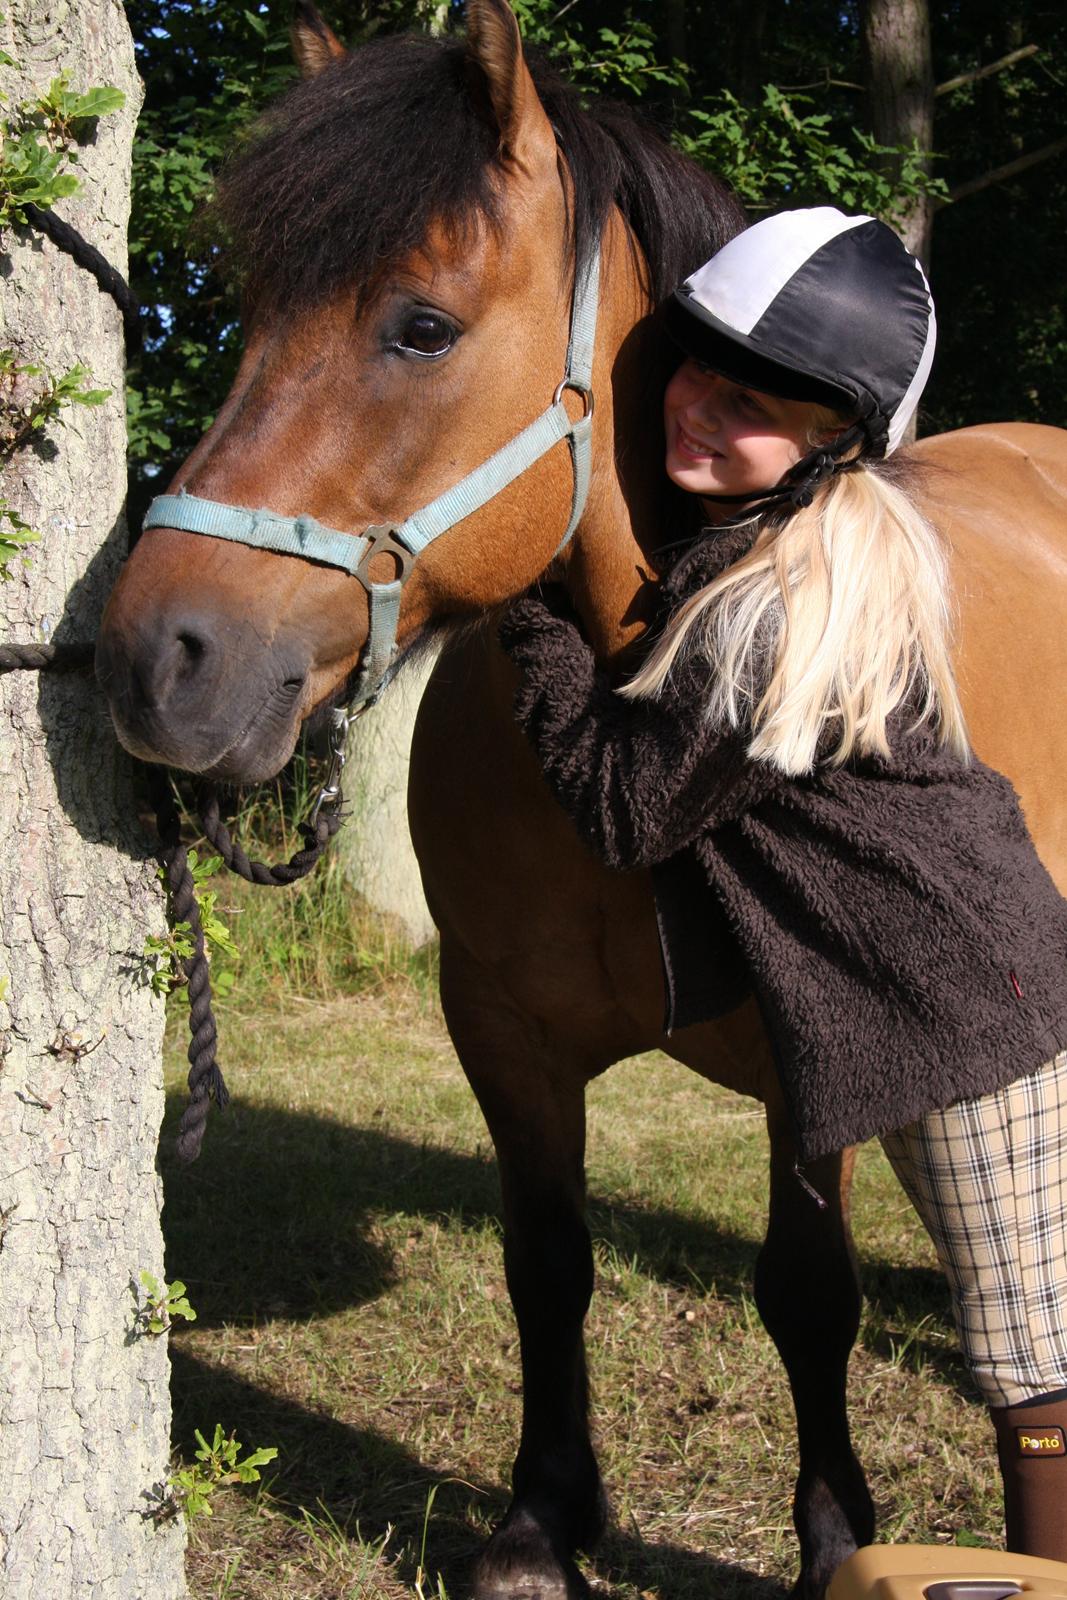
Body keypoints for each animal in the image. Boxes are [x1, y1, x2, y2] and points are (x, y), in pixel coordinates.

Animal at [96, 2, 1067, 1595]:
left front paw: (831, 1533)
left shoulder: (816, 1051)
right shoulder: (503, 1031)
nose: (157, 660)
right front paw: (539, 1520)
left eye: (420, 326)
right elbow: (544, 1265)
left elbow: (806, 1293)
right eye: (243, 310)